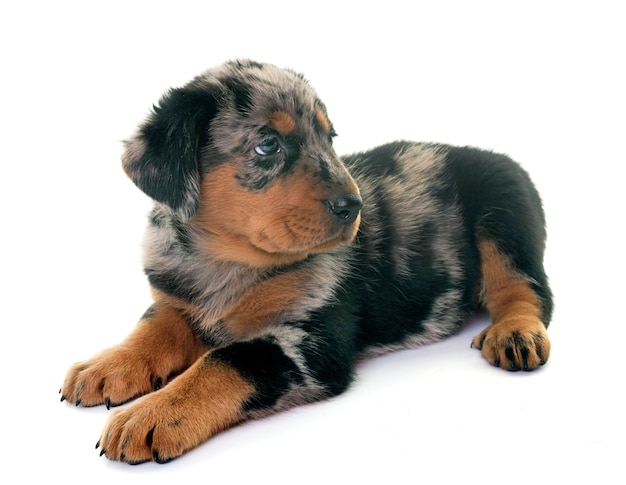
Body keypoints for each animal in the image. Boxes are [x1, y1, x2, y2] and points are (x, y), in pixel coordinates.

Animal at [62, 58, 552, 464]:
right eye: (268, 145)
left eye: (329, 138)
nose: (353, 206)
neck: (225, 260)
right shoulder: (175, 299)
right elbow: (151, 328)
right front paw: (105, 366)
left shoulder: (310, 342)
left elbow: (225, 362)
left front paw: (151, 414)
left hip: (504, 216)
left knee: (526, 290)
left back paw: (515, 333)